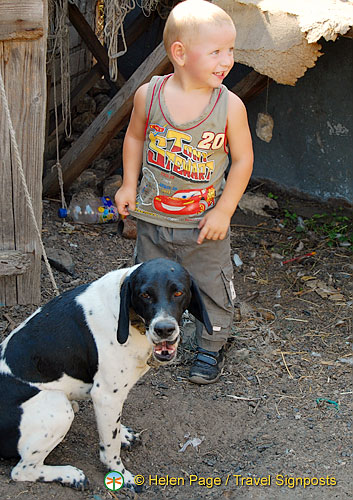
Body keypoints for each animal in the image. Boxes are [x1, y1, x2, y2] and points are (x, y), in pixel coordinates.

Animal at [0, 260, 209, 490]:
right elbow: (110, 447)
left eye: (178, 292)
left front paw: (123, 435)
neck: (129, 319)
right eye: (145, 295)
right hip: (58, 407)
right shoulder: (107, 396)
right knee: (22, 470)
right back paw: (70, 475)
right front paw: (120, 475)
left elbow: (113, 429)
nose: (164, 329)